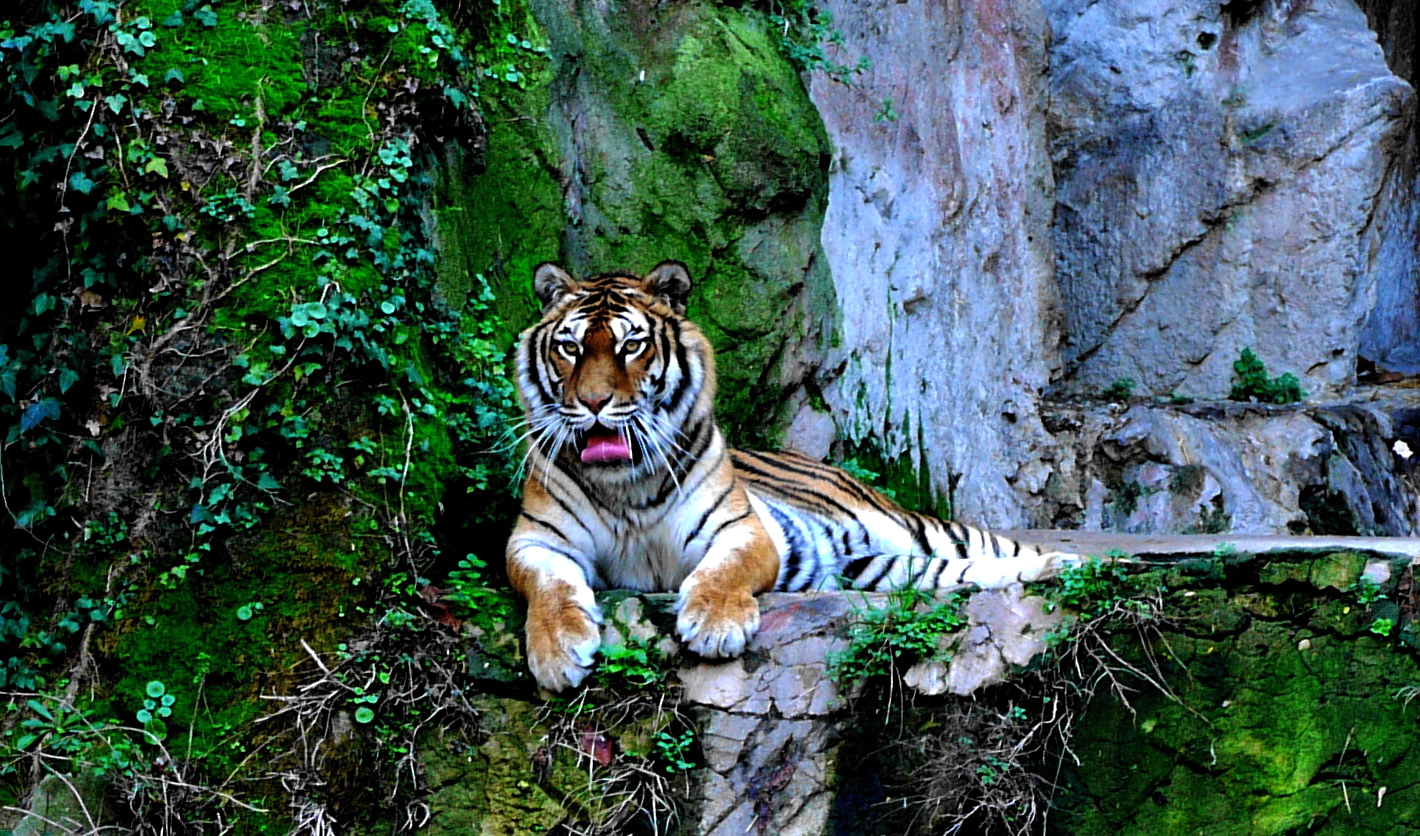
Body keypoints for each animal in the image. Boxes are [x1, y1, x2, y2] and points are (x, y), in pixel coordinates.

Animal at [505, 260, 1086, 692]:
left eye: (632, 345)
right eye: (571, 347)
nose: (594, 402)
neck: (625, 483)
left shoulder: (740, 528)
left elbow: (724, 570)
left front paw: (714, 625)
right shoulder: (535, 541)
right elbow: (549, 585)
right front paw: (558, 651)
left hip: (915, 527)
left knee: (999, 548)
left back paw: (1072, 562)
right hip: (881, 570)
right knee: (965, 574)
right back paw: (1054, 570)